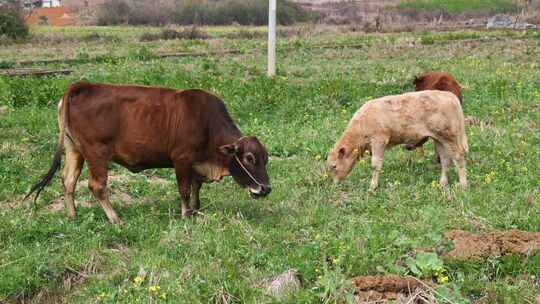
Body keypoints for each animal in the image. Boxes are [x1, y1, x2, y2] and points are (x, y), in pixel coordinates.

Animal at [24, 82, 270, 224]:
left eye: (266, 159)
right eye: (249, 158)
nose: (266, 189)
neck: (207, 123)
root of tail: (82, 86)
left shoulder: (195, 165)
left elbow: (195, 188)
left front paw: (195, 210)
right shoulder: (181, 160)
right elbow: (184, 190)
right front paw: (185, 215)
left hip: (74, 149)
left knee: (68, 181)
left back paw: (72, 215)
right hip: (97, 153)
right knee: (97, 186)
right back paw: (115, 219)